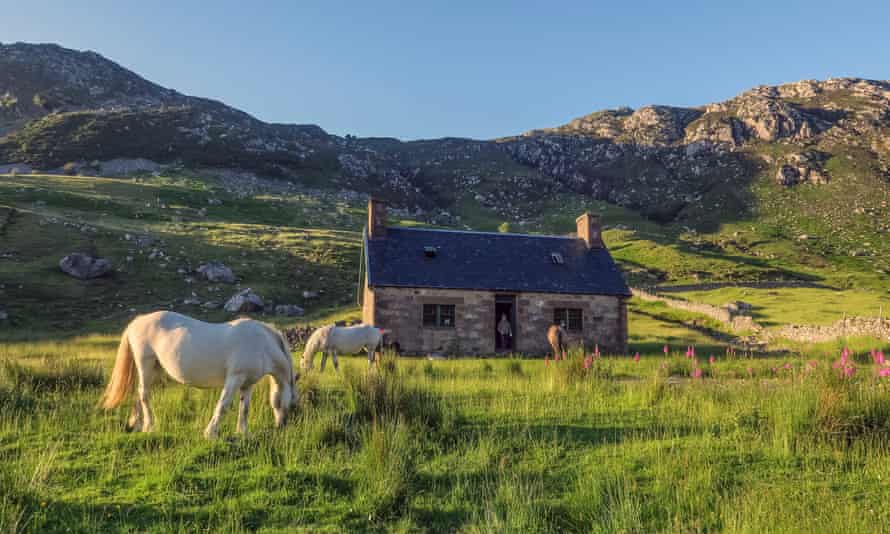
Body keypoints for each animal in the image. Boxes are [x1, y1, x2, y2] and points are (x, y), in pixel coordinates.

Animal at [99, 312, 296, 442]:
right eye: (294, 405)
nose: (281, 426)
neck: (261, 343)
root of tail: (138, 321)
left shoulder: (247, 384)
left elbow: (244, 409)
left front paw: (243, 433)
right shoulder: (234, 379)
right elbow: (222, 406)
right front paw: (211, 434)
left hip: (155, 369)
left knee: (141, 395)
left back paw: (138, 424)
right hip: (145, 365)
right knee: (144, 394)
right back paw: (150, 427)